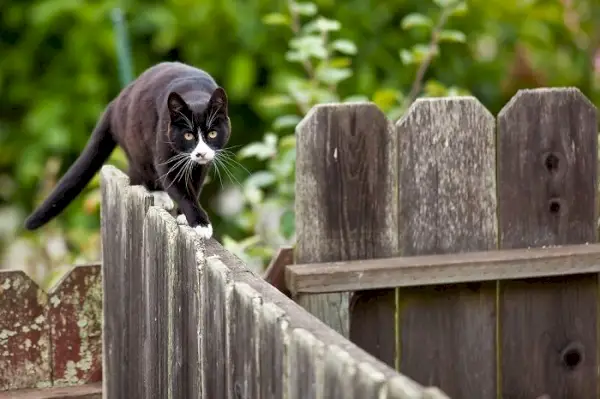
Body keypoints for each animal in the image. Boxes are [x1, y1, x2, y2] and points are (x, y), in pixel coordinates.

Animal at [24, 61, 230, 239]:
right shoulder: (165, 150)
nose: (201, 153)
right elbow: (178, 187)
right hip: (137, 145)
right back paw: (159, 195)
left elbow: (195, 185)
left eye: (212, 133)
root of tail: (115, 102)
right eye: (188, 136)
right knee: (138, 173)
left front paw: (183, 215)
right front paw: (200, 224)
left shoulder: (202, 165)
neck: (194, 93)